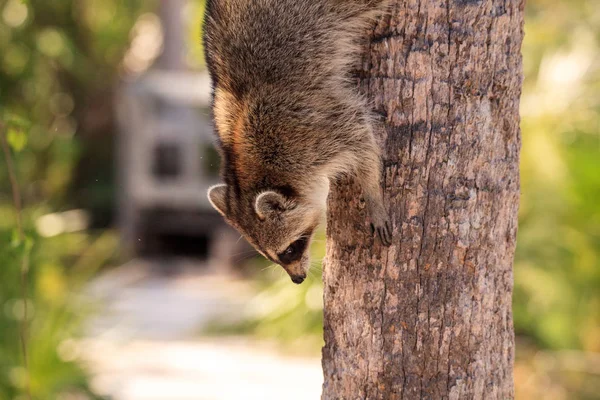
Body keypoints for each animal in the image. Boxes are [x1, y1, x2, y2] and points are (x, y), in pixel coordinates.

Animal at [204, 0, 394, 284]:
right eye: (270, 256)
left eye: (290, 250)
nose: (297, 280)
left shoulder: (304, 132)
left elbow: (361, 139)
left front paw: (373, 195)